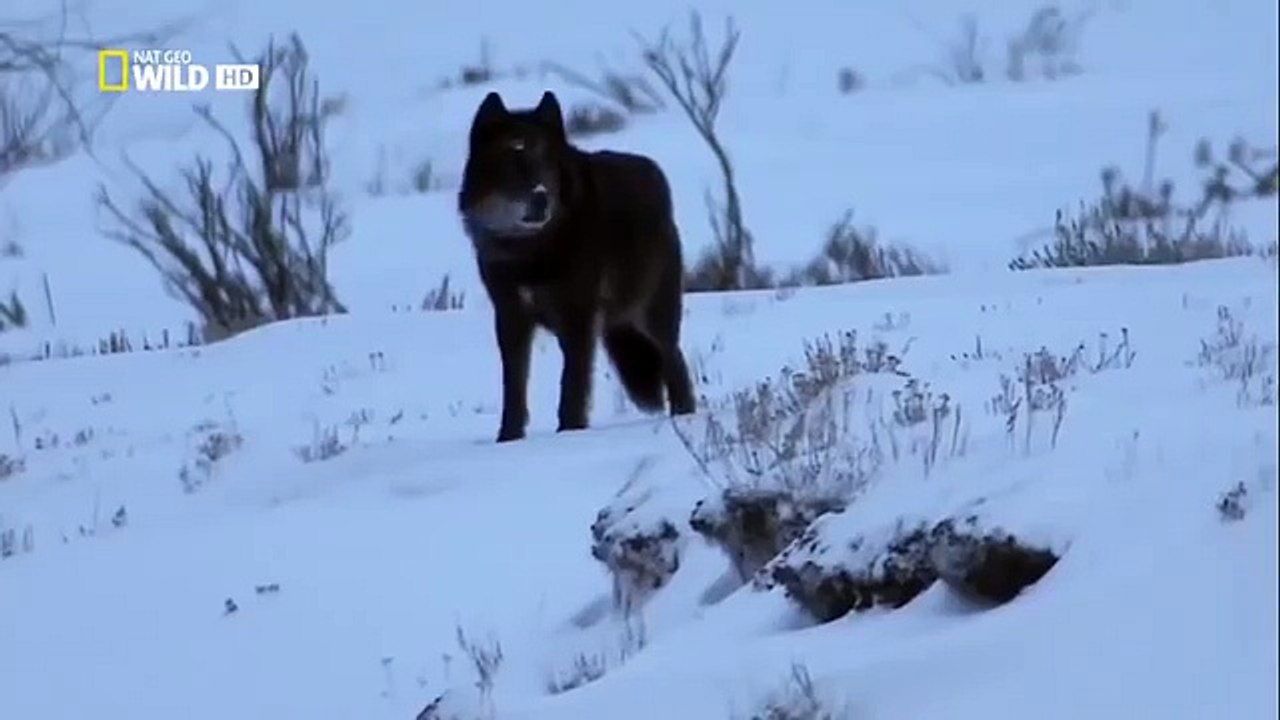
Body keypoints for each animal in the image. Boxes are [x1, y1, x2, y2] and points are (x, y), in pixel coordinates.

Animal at [457, 90, 697, 443]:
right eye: (513, 164)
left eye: (546, 164)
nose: (541, 198)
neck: (530, 251)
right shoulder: (511, 317)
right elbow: (514, 387)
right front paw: (509, 438)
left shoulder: (578, 318)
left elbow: (573, 383)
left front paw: (569, 432)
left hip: (653, 318)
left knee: (674, 360)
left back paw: (684, 415)